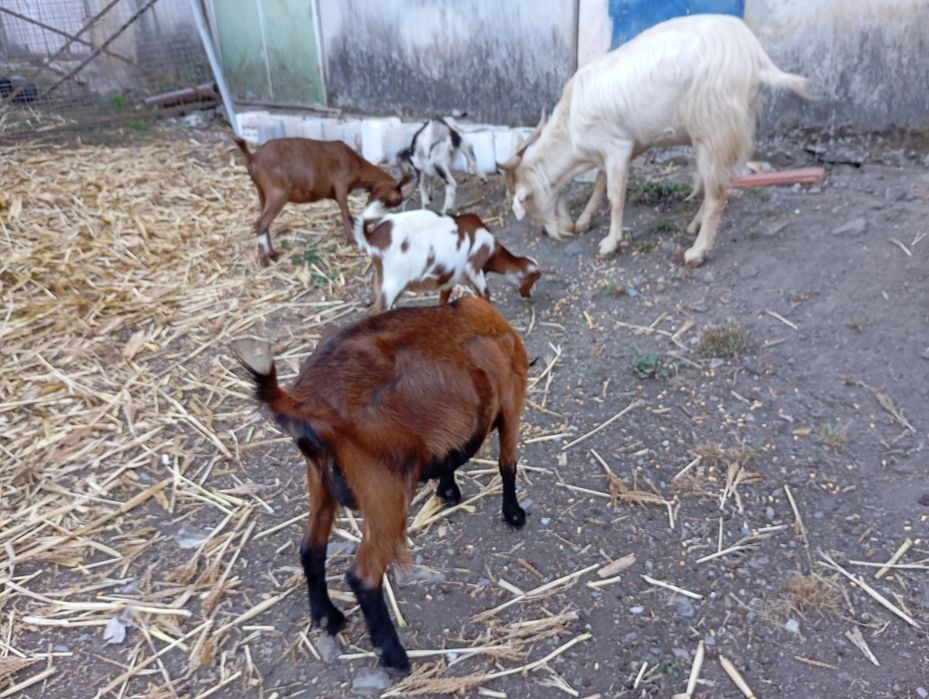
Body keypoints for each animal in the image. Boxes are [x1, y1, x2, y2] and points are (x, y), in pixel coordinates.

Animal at [234, 136, 412, 265]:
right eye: (397, 199)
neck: (356, 163)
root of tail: (253, 157)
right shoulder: (340, 186)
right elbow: (346, 214)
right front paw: (352, 239)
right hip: (277, 192)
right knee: (261, 223)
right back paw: (264, 259)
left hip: (262, 193)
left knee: (264, 223)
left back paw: (272, 253)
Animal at [234, 296, 529, 673]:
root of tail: (304, 402)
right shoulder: (512, 398)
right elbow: (508, 463)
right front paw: (514, 514)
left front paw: (448, 491)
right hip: (382, 489)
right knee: (363, 576)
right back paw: (394, 655)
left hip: (320, 480)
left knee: (311, 547)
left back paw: (328, 617)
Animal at [353, 200, 540, 314]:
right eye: (532, 279)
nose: (528, 295)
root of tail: (372, 238)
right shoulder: (474, 267)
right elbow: (485, 295)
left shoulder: (449, 279)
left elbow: (442, 301)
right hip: (392, 284)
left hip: (384, 282)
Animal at [499, 14, 811, 267]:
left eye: (526, 202)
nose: (544, 231)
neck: (571, 126)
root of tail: (755, 55)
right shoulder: (630, 145)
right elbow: (600, 181)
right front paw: (584, 220)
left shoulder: (617, 147)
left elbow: (614, 195)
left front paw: (609, 243)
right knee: (717, 183)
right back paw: (694, 226)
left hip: (714, 130)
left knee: (718, 193)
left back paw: (696, 252)